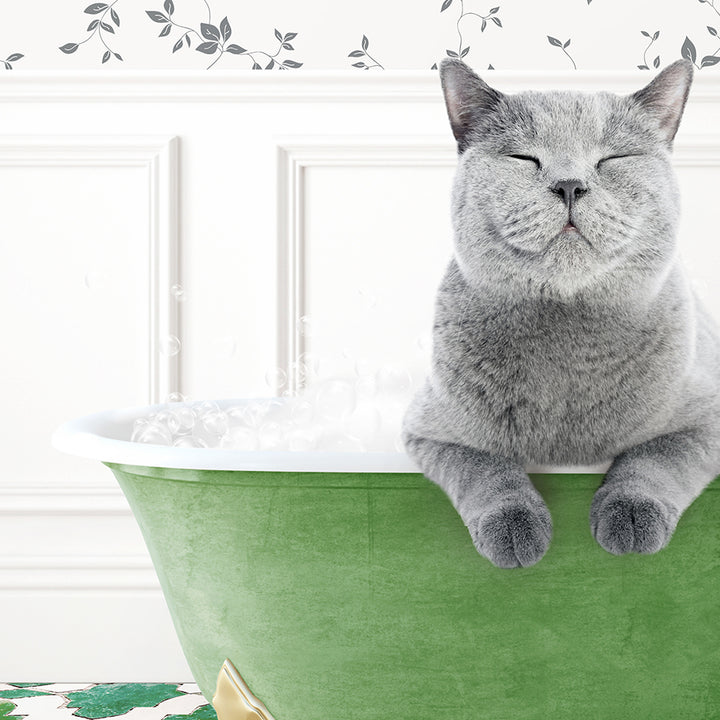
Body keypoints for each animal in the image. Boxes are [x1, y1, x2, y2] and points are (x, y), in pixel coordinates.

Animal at [402, 59, 720, 568]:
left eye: (612, 159)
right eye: (524, 159)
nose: (570, 185)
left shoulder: (707, 417)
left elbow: (656, 457)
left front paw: (630, 517)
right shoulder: (432, 431)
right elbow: (485, 467)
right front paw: (515, 529)